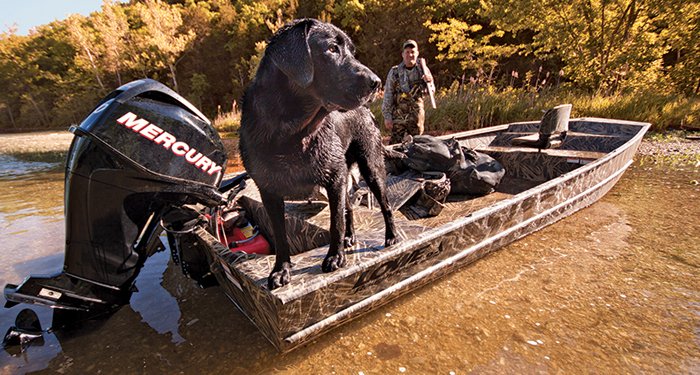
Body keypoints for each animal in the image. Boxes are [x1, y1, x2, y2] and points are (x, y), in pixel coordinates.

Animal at [239, 19, 400, 290]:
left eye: (352, 51)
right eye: (332, 49)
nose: (377, 82)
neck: (292, 135)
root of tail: (367, 111)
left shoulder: (334, 177)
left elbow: (335, 222)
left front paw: (334, 257)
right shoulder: (268, 191)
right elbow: (280, 236)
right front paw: (281, 270)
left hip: (371, 166)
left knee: (384, 205)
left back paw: (391, 236)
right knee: (349, 208)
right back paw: (350, 238)